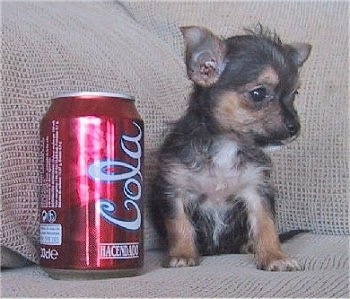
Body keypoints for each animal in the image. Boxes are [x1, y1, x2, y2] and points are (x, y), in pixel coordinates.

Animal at [150, 25, 312, 272]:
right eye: (258, 93)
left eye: (294, 94)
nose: (295, 127)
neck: (227, 145)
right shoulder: (175, 189)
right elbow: (179, 225)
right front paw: (183, 254)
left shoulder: (256, 190)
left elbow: (266, 226)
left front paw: (274, 256)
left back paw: (249, 246)